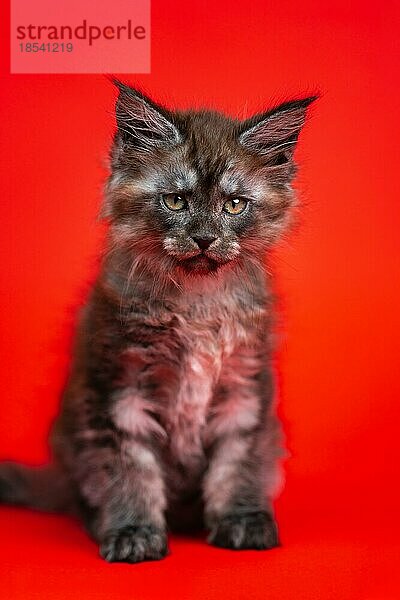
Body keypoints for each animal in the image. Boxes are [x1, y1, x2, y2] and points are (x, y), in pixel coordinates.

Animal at [0, 82, 316, 564]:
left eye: (233, 205)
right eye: (175, 200)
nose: (204, 237)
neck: (197, 304)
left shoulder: (244, 389)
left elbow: (239, 463)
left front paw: (242, 522)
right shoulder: (120, 392)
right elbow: (130, 470)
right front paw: (134, 532)